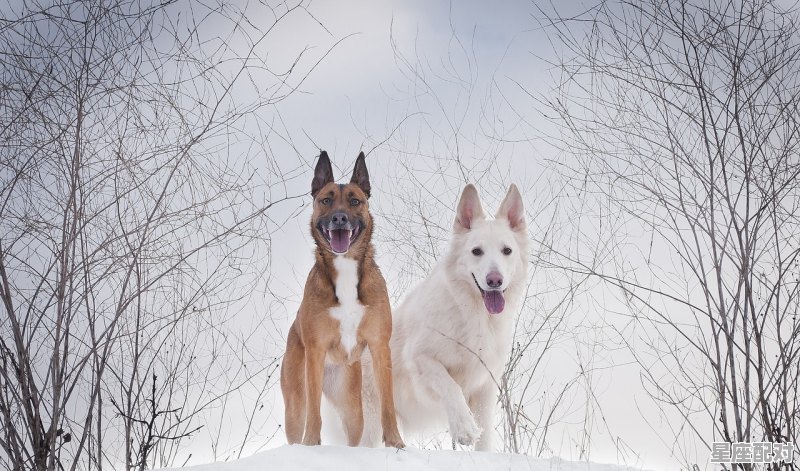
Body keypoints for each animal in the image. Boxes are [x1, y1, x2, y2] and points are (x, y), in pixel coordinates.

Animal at [282, 151, 406, 450]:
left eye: (355, 201)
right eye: (326, 200)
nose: (339, 218)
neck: (346, 267)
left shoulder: (380, 347)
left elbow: (388, 405)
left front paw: (395, 442)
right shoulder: (315, 352)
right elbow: (315, 414)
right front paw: (311, 444)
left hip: (352, 407)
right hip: (295, 403)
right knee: (301, 418)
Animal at [340, 183, 528, 452]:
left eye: (507, 251)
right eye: (476, 251)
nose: (495, 280)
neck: (472, 314)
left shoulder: (485, 386)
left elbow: (485, 437)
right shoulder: (421, 359)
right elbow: (451, 386)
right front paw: (464, 428)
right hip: (370, 422)